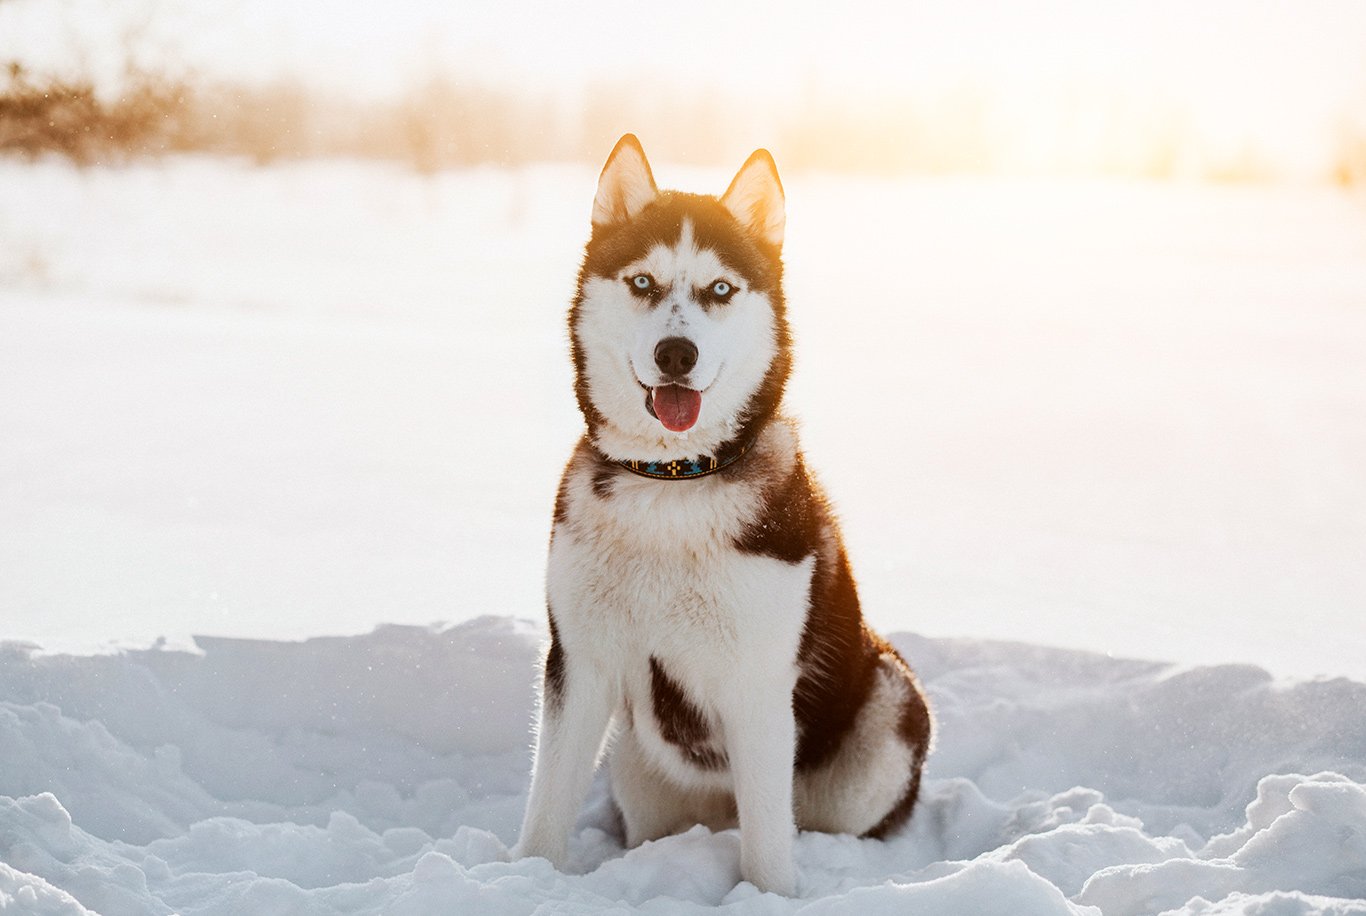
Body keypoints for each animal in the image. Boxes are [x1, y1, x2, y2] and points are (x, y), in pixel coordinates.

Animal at [513, 134, 939, 895]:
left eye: (719, 290)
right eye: (643, 283)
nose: (675, 353)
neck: (672, 484)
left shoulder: (759, 683)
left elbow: (769, 843)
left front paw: (770, 899)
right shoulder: (581, 661)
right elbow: (546, 808)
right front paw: (526, 879)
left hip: (889, 704)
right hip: (640, 768)